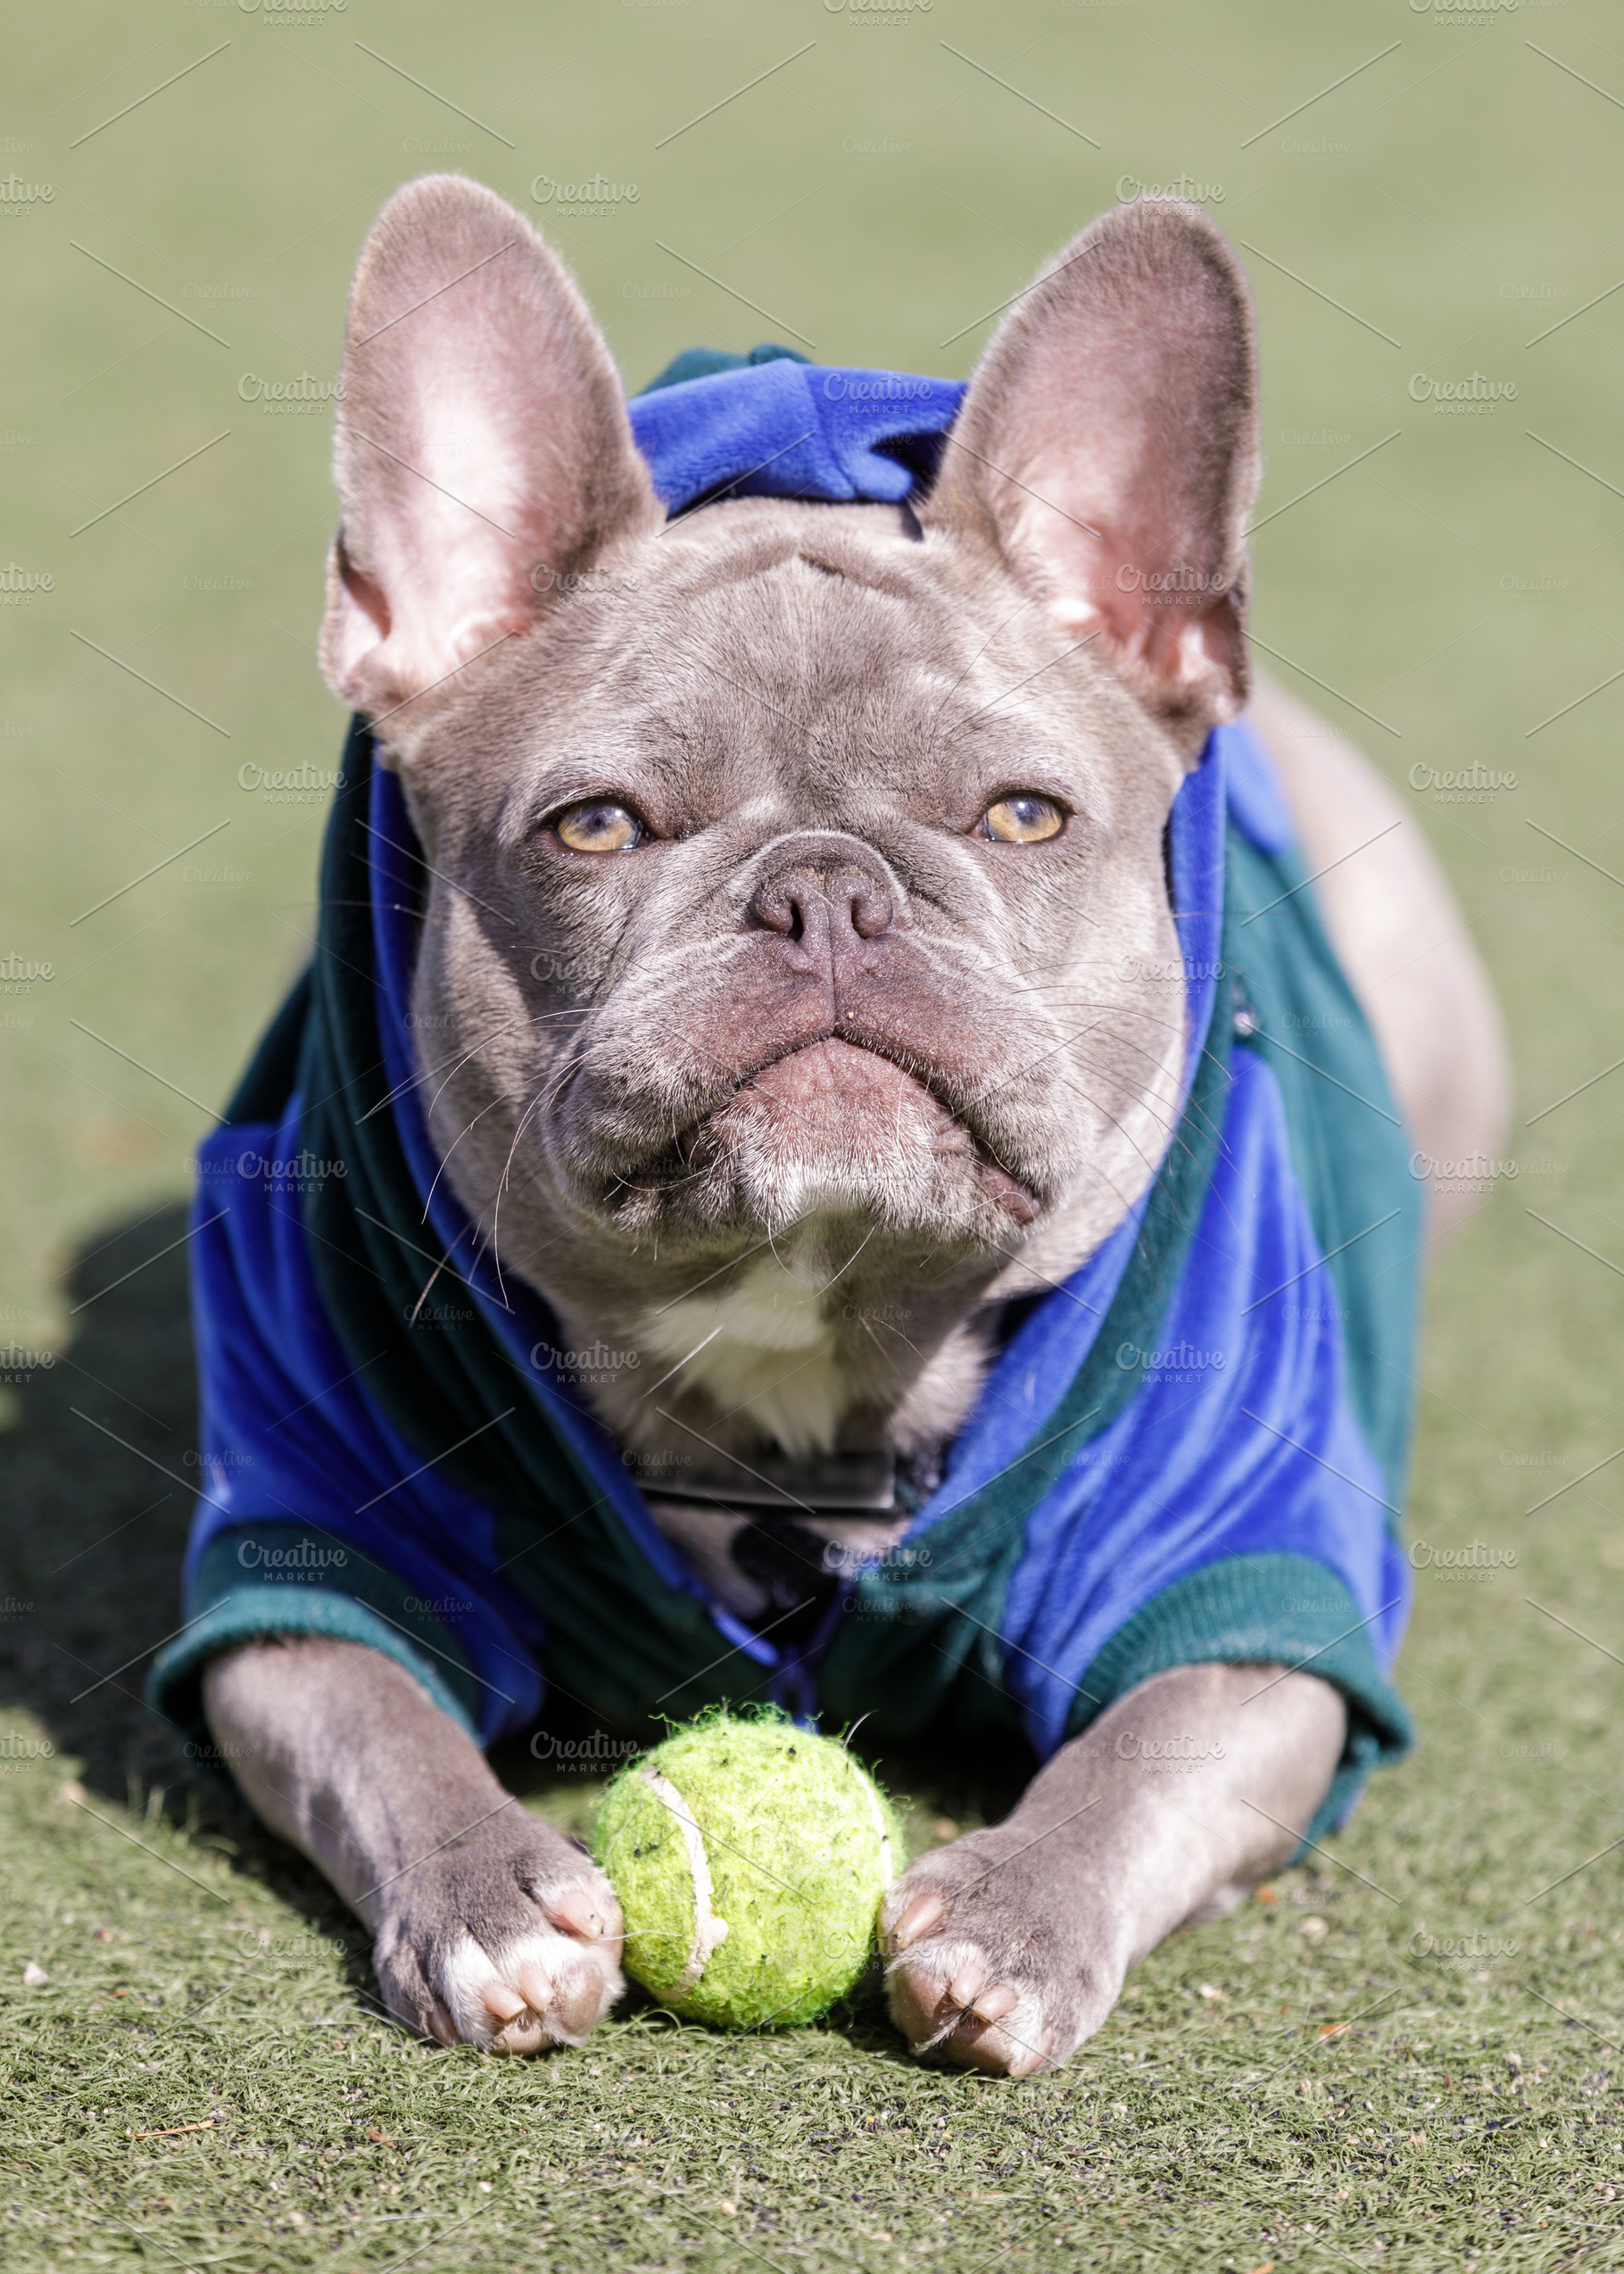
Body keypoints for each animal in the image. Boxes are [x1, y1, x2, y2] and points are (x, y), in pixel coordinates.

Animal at [193, 181, 1501, 2082]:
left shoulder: (1246, 1592)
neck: (812, 1332)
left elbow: (1145, 1747)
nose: (823, 889)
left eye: (1023, 815)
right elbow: (375, 1720)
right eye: (596, 826)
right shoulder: (311, 1552)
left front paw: (1019, 1911)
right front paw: (487, 1892)